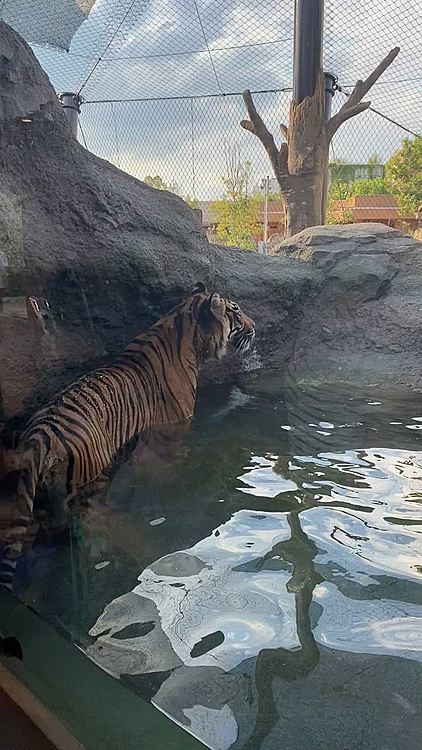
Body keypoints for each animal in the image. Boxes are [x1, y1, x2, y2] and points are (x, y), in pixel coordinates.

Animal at [0, 284, 256, 592]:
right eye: (236, 311)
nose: (255, 327)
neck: (180, 327)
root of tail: (40, 436)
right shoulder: (176, 427)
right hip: (88, 479)